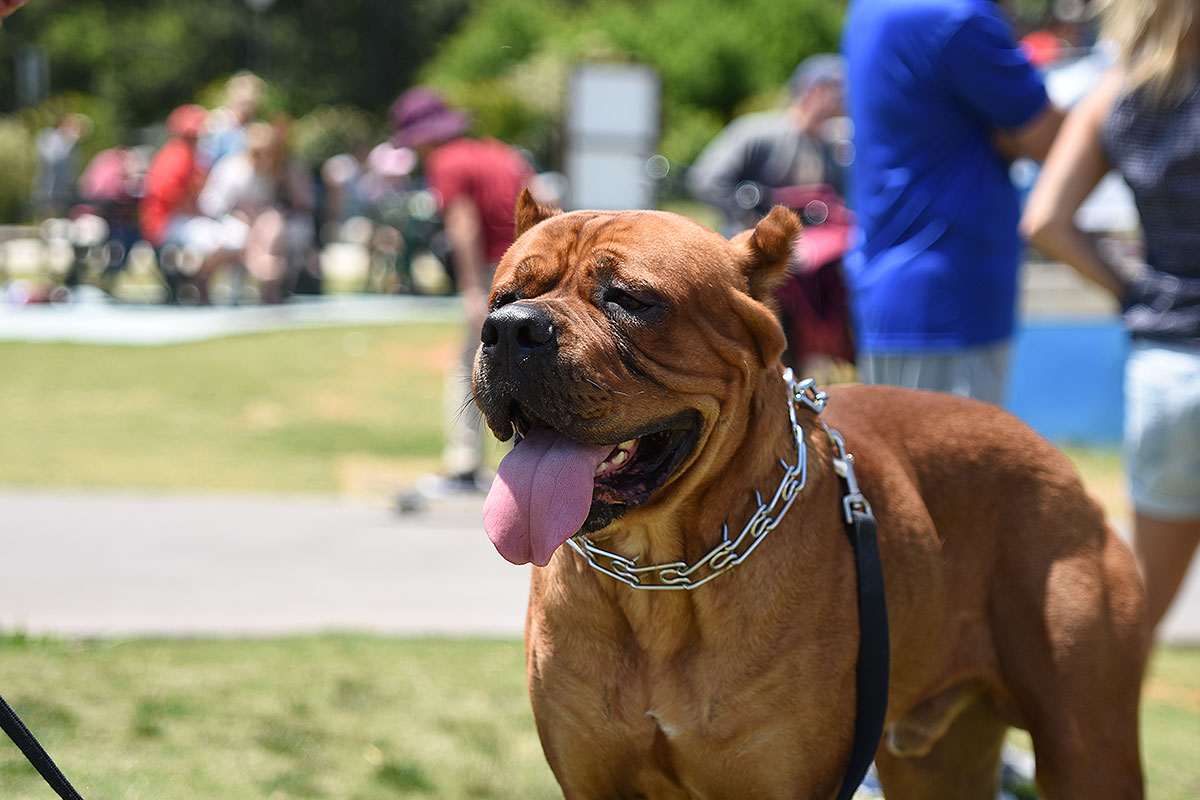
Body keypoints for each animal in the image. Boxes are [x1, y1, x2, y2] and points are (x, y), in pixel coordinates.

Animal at [472, 190, 1147, 796]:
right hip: (934, 764)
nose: (508, 331)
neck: (660, 579)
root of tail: (1054, 457)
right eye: (503, 298)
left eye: (630, 300)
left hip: (1089, 751)